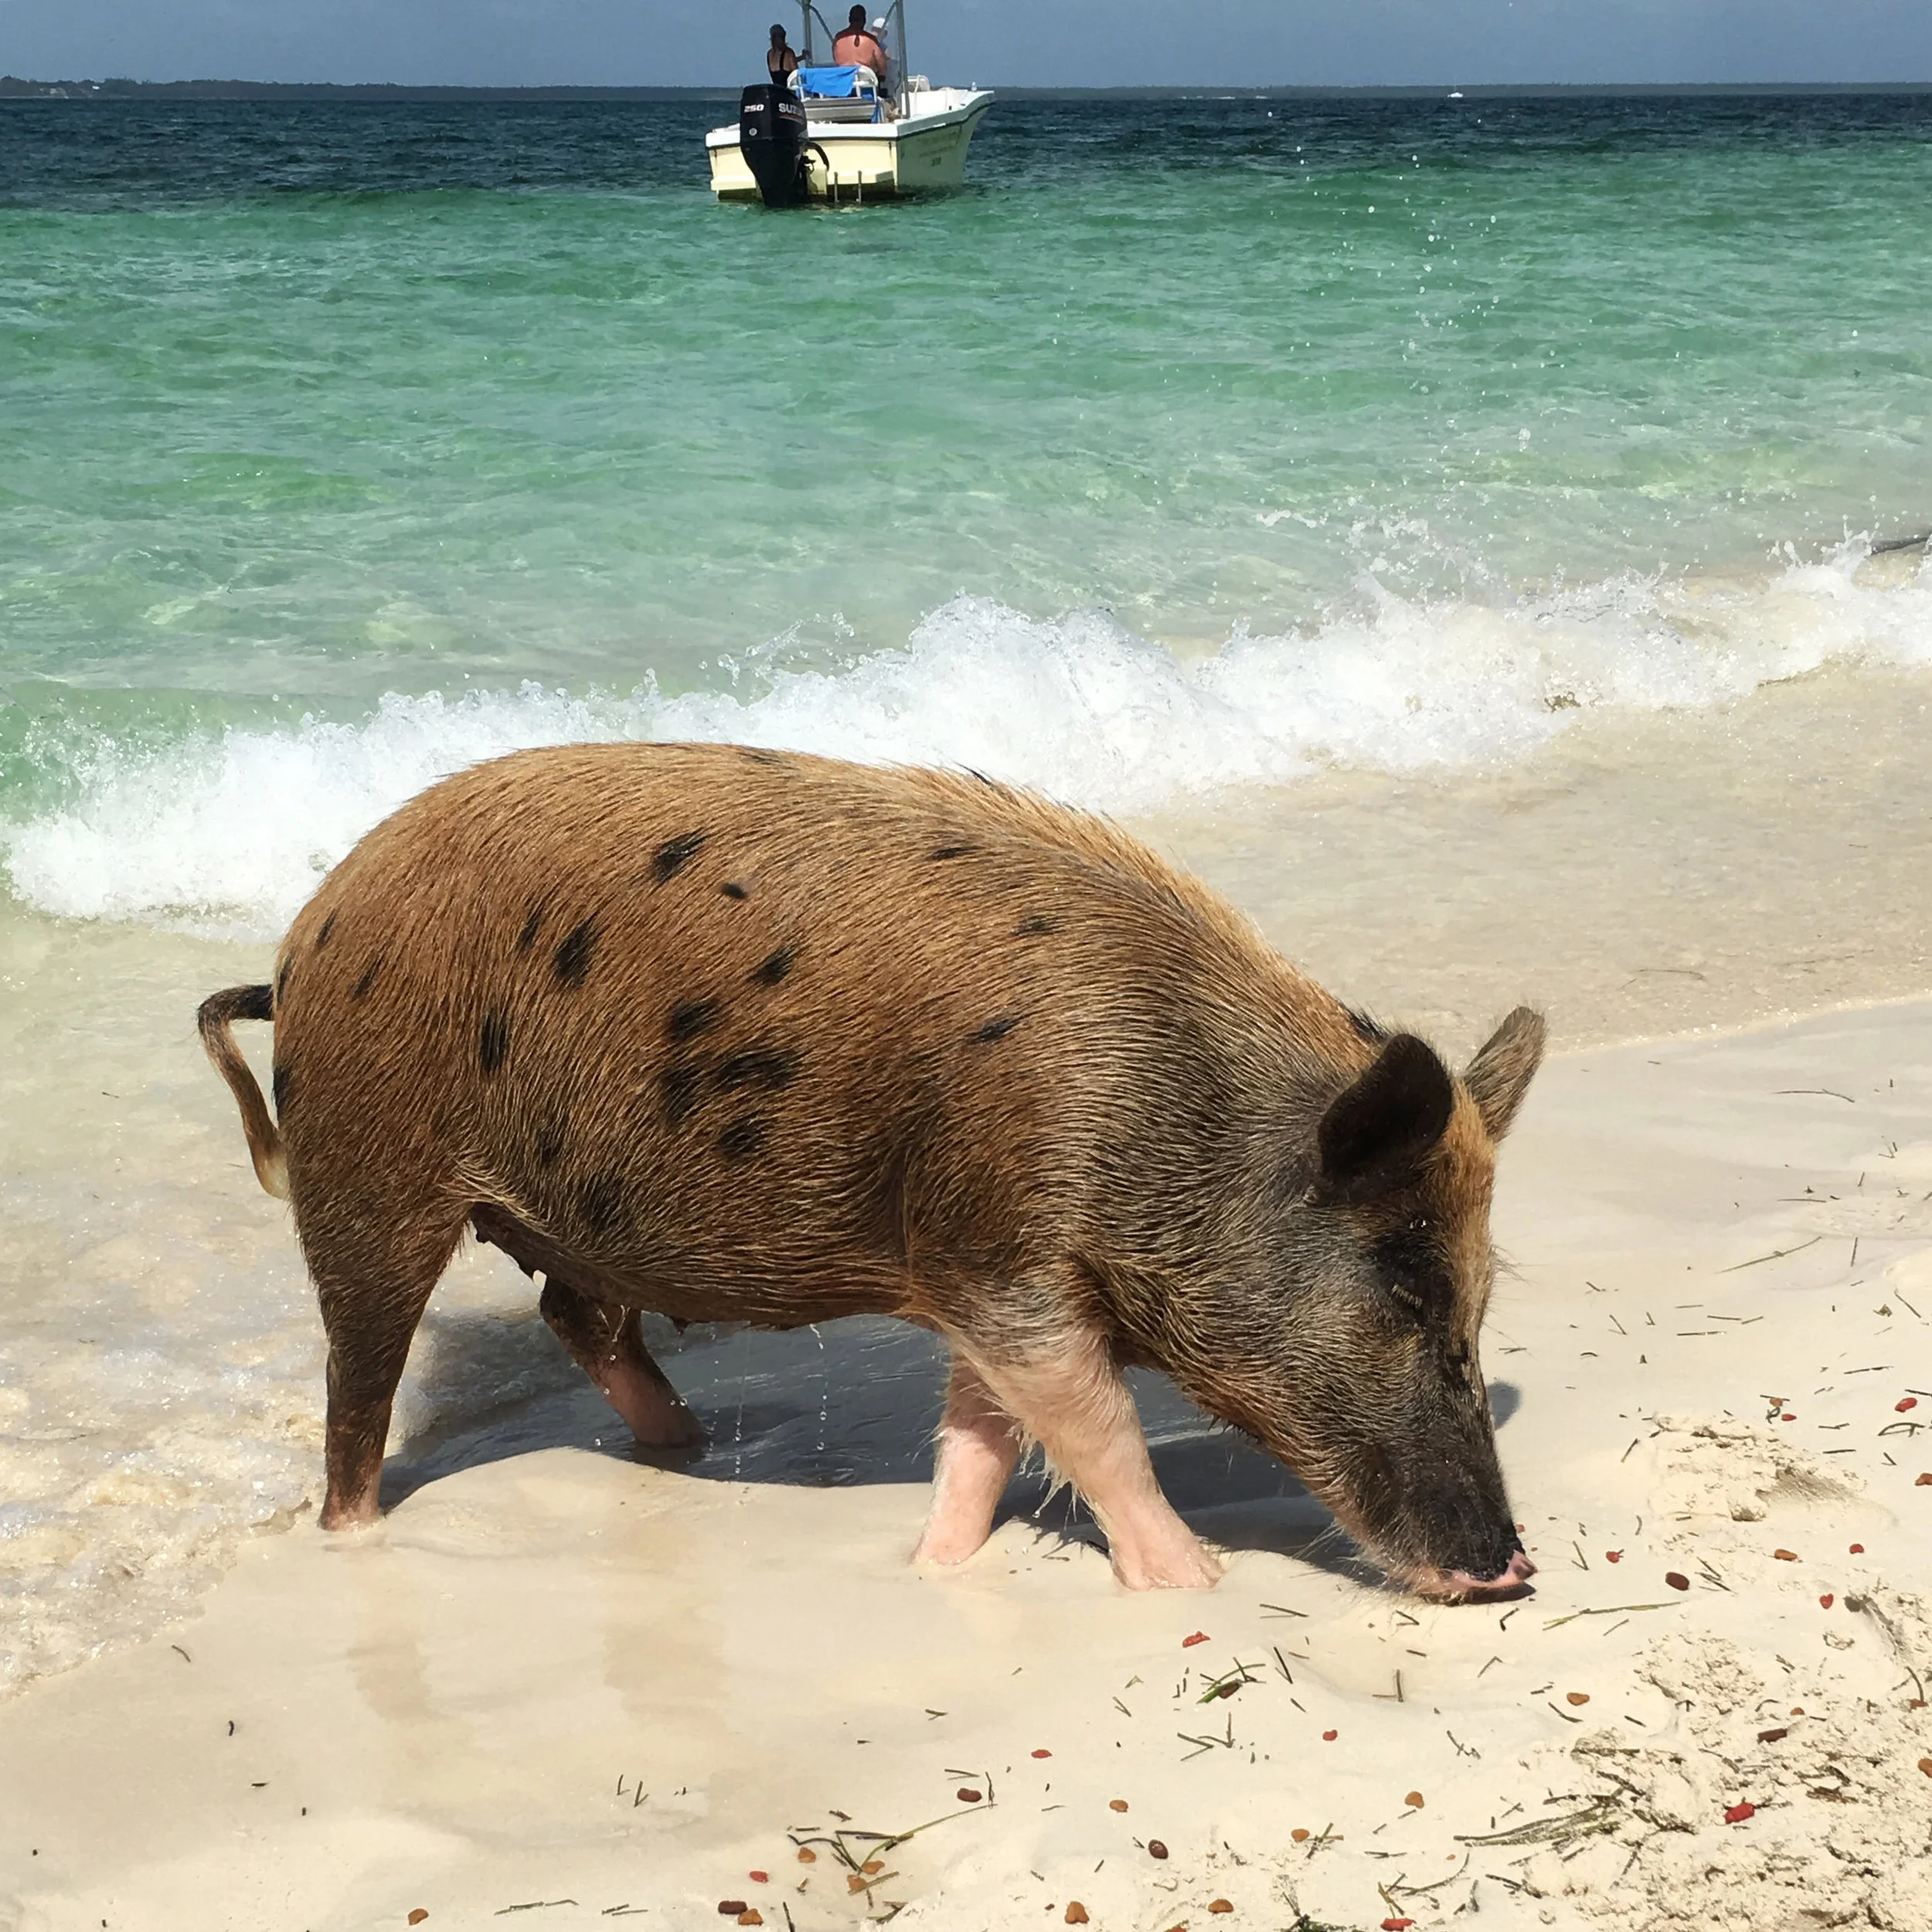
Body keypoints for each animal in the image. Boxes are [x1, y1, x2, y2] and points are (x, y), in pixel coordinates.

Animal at [198, 743, 1544, 1598]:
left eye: (1480, 1297)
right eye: (1405, 1286)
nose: (1513, 1569)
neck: (1167, 1112)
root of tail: (302, 945)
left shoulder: (973, 1255)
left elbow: (986, 1430)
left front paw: (931, 1572)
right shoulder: (998, 1249)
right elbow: (1093, 1425)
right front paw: (1194, 1582)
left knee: (573, 1315)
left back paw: (688, 1447)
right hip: (368, 1174)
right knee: (362, 1379)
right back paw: (356, 1533)